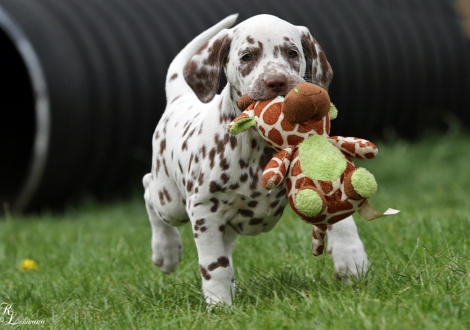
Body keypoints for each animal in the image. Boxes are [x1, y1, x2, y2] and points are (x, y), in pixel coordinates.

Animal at [141, 14, 370, 306]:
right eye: (248, 56)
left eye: (292, 53)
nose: (277, 81)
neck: (257, 146)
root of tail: (179, 99)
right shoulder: (204, 210)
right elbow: (214, 264)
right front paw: (219, 303)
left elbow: (342, 218)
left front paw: (350, 258)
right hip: (170, 203)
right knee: (148, 188)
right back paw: (166, 251)